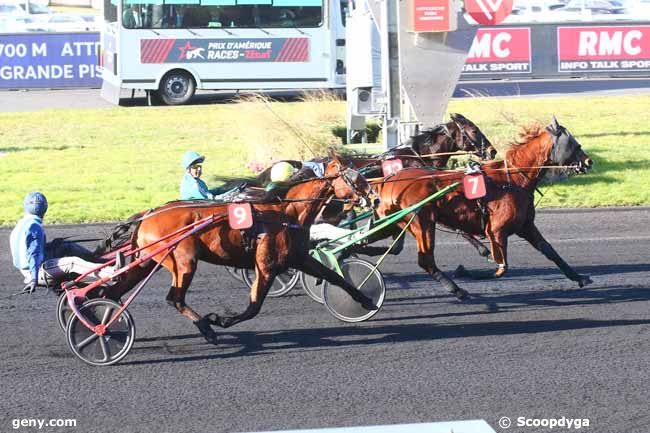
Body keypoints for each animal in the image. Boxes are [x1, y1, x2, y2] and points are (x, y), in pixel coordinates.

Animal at [374, 115, 592, 296]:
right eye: (572, 143)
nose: (589, 161)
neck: (512, 179)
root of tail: (390, 180)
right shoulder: (496, 230)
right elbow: (502, 267)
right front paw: (466, 272)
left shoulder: (525, 226)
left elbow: (549, 250)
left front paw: (579, 277)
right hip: (422, 222)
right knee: (425, 259)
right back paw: (457, 290)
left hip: (398, 223)